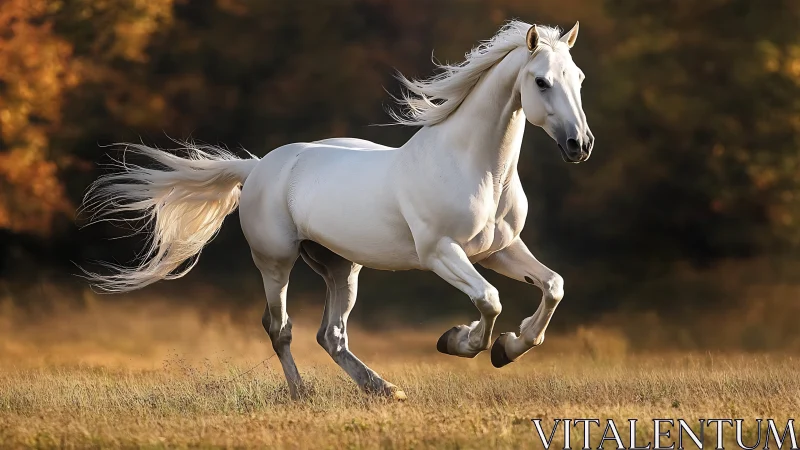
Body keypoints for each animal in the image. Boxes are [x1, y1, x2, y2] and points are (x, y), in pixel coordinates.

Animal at [81, 20, 593, 400]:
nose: (580, 145)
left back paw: (384, 389)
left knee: (331, 335)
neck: (475, 167)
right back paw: (302, 393)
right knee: (280, 327)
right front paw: (459, 341)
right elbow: (489, 300)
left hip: (341, 267)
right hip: (275, 261)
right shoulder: (441, 253)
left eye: (579, 79)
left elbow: (553, 286)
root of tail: (259, 165)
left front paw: (509, 347)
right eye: (542, 81)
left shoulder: (499, 250)